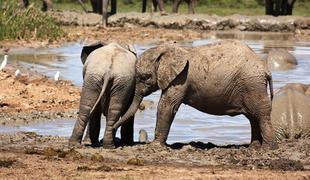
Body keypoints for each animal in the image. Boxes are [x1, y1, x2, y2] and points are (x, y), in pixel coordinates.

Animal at [115, 40, 278, 149]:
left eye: (145, 77)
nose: (113, 131)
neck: (168, 50)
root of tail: (266, 69)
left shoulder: (180, 79)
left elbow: (167, 106)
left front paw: (155, 146)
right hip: (251, 86)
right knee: (253, 116)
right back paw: (253, 148)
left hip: (252, 84)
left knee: (261, 114)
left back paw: (267, 149)